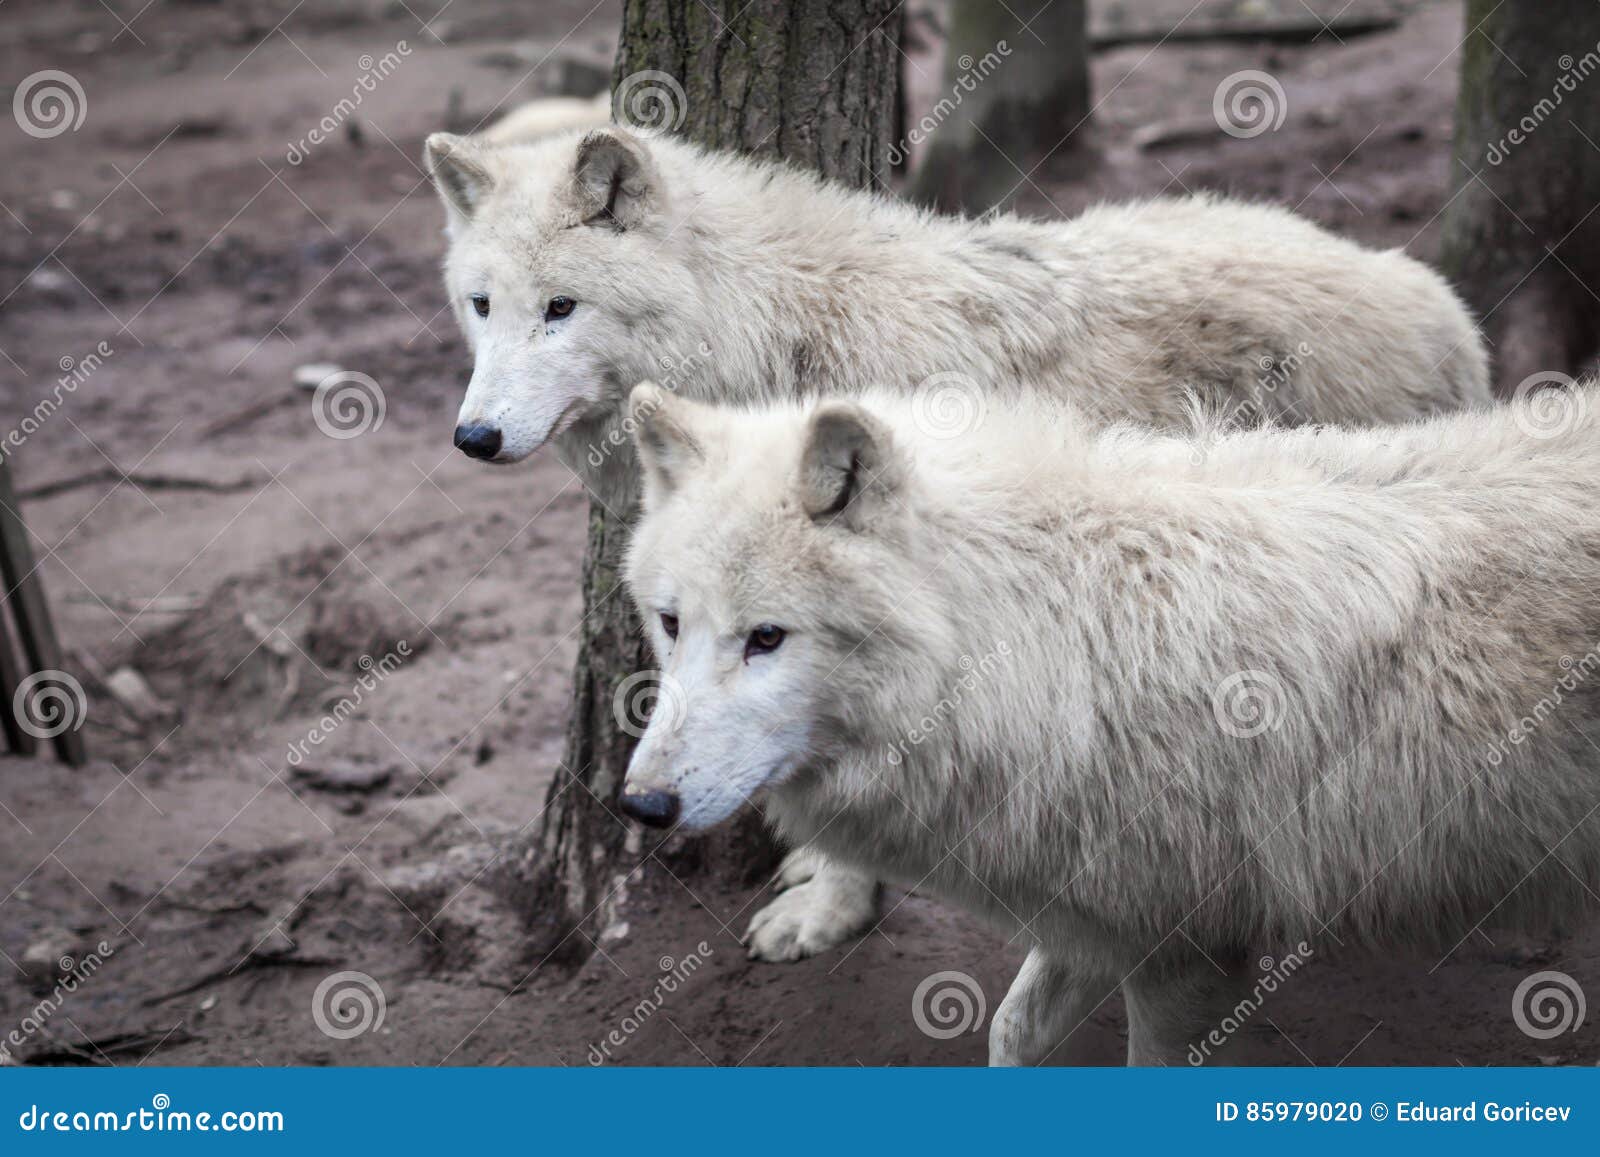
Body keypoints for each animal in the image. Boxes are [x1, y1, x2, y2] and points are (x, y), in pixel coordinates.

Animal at [423, 122, 1491, 963]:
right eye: (482, 305)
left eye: (561, 307)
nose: (473, 438)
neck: (766, 335)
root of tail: (1437, 295)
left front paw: (829, 909)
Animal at [617, 380, 1600, 1065]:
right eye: (671, 622)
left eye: (766, 637)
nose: (642, 804)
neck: (1046, 642)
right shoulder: (1096, 911)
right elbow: (1008, 1034)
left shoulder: (1188, 947)